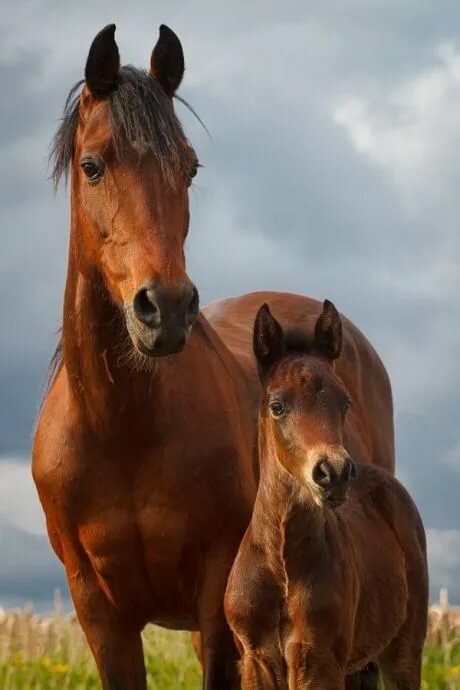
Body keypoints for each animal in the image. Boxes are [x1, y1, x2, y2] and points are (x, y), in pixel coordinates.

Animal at [32, 22, 395, 690]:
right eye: (92, 166)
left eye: (190, 167)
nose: (167, 307)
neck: (121, 429)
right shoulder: (99, 612)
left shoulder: (216, 600)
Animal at [224, 300, 428, 690]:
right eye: (277, 406)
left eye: (345, 402)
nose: (333, 474)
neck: (283, 564)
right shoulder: (254, 660)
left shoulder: (317, 660)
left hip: (403, 653)